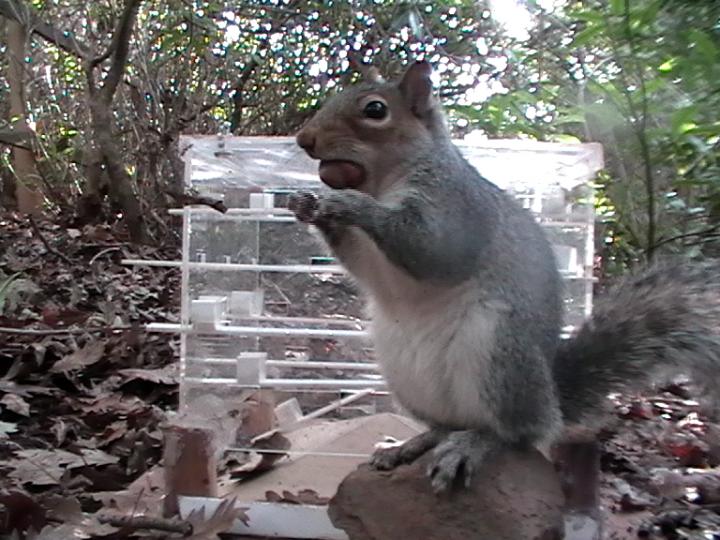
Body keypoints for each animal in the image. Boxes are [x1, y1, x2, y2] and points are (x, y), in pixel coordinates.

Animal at [288, 61, 720, 493]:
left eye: (375, 110)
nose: (304, 139)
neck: (384, 181)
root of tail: (552, 404)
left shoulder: (458, 210)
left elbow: (430, 249)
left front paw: (349, 203)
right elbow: (364, 264)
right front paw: (307, 205)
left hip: (498, 352)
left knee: (515, 434)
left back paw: (474, 444)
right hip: (403, 372)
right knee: (445, 427)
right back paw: (407, 446)